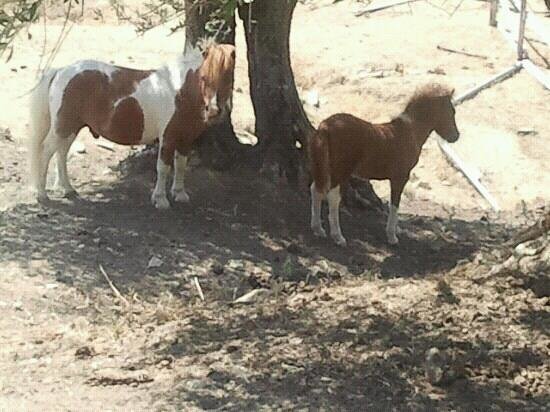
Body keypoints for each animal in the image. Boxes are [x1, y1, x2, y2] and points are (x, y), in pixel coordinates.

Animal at [28, 43, 235, 208]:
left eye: (228, 78)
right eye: (204, 78)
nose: (213, 111)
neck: (180, 91)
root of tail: (61, 70)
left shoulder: (186, 139)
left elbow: (181, 165)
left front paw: (179, 194)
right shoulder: (168, 138)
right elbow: (163, 167)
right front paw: (160, 199)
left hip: (71, 128)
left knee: (61, 154)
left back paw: (68, 190)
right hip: (63, 127)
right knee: (46, 152)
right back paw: (42, 195)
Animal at [310, 83, 462, 245]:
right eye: (451, 111)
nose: (455, 136)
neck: (410, 132)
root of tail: (325, 126)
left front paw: (397, 230)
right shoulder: (400, 177)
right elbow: (395, 203)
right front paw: (392, 236)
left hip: (325, 169)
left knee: (316, 190)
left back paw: (318, 229)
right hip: (341, 171)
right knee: (332, 197)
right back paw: (338, 237)